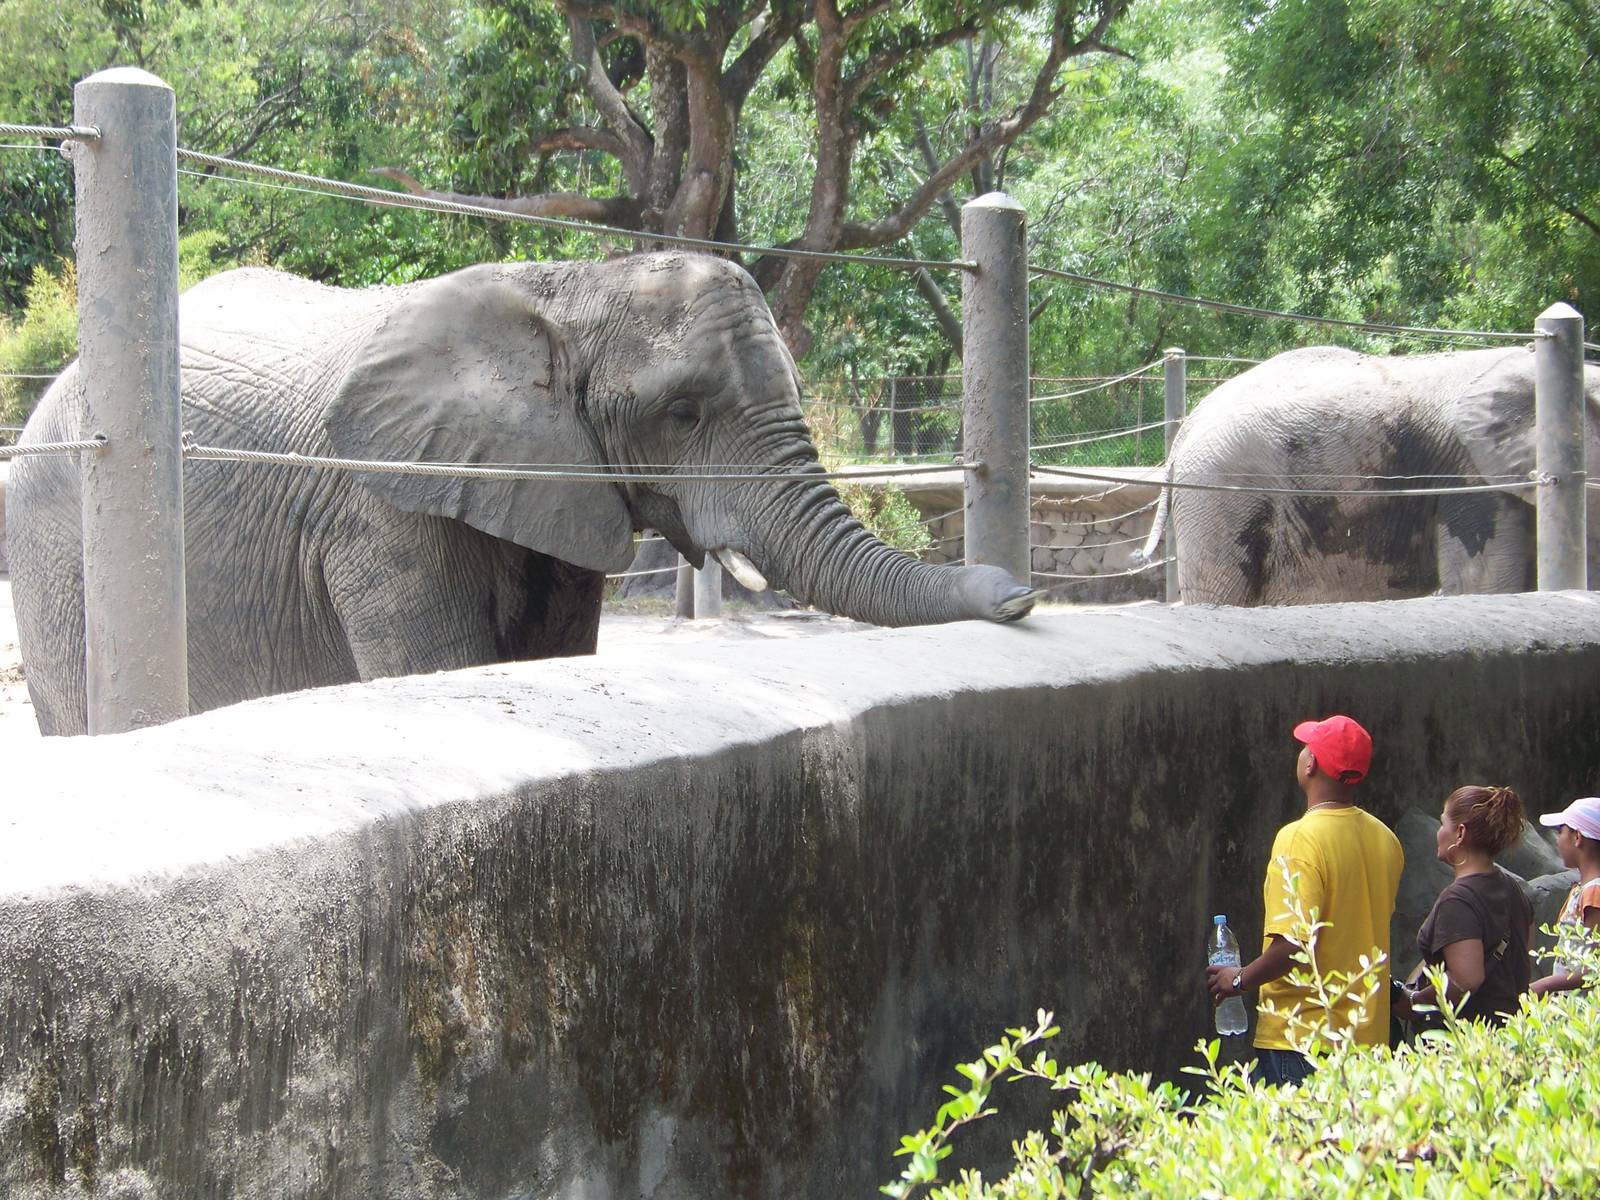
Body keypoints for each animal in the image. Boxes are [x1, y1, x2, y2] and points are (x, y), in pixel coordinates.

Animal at [8, 253, 1039, 735]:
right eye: (683, 413)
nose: (1019, 595)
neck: (571, 285)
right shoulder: (381, 512)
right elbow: (442, 670)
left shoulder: (559, 482)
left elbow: (551, 656)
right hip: (57, 549)